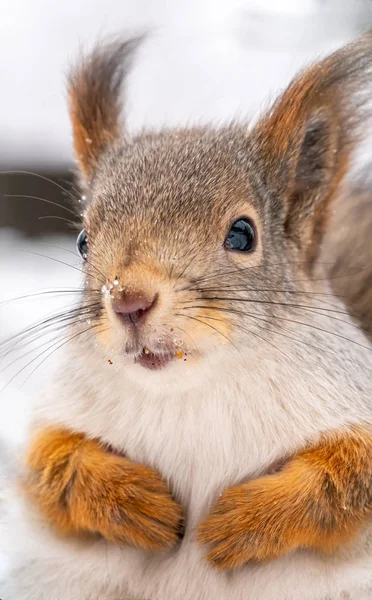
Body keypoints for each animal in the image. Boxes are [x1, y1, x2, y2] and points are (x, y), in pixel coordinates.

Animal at [0, 32, 372, 600]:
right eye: (82, 240)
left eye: (242, 234)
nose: (128, 299)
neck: (191, 388)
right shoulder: (61, 414)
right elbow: (54, 467)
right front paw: (135, 503)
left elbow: (349, 480)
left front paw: (243, 521)